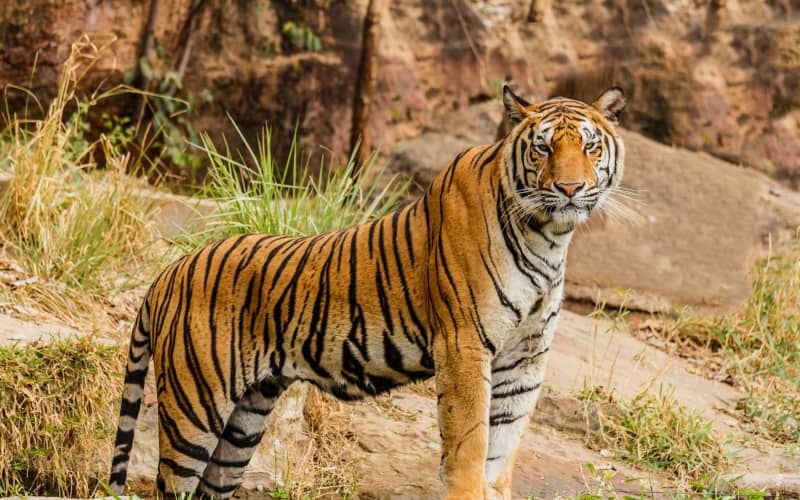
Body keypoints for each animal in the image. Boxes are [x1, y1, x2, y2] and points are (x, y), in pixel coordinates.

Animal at [108, 85, 626, 499]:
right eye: (542, 148)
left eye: (589, 145)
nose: (570, 188)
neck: (549, 236)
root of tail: (169, 271)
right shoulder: (464, 345)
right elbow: (470, 444)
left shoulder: (525, 359)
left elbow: (501, 449)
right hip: (194, 408)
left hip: (245, 420)